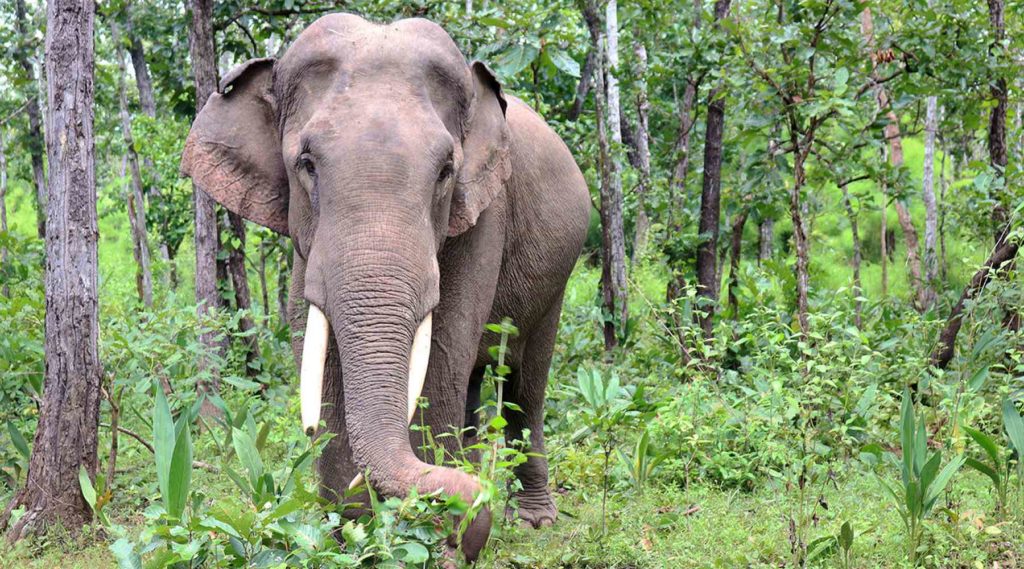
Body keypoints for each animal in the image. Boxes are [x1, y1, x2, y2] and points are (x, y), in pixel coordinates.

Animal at [180, 12, 589, 560]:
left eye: (446, 170)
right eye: (305, 164)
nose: (468, 525)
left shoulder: (485, 212)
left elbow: (444, 348)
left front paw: (438, 546)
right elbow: (313, 348)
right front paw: (350, 535)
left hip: (558, 275)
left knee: (526, 380)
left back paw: (533, 520)